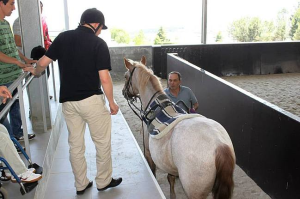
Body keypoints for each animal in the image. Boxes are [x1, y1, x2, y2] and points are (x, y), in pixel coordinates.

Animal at [123, 56, 236, 199]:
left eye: (126, 76)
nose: (124, 92)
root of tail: (220, 145)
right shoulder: (170, 165)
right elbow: (171, 179)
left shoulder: (148, 153)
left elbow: (154, 173)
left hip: (194, 192)